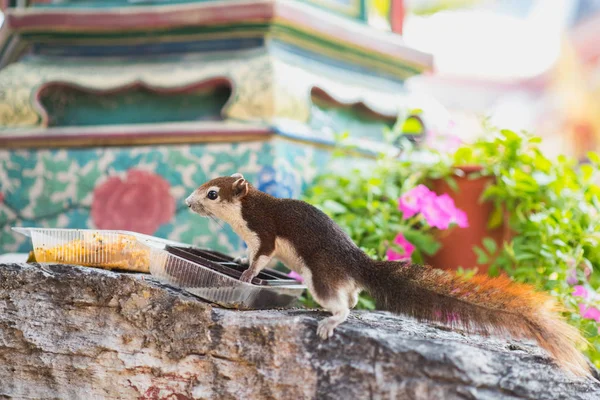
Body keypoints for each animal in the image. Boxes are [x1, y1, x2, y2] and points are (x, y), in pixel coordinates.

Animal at [185, 173, 592, 378]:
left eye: (212, 193)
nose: (188, 203)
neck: (244, 211)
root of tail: (355, 260)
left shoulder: (264, 233)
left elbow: (259, 259)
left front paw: (247, 275)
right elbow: (249, 255)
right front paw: (238, 260)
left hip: (320, 275)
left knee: (343, 303)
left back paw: (331, 321)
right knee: (351, 297)